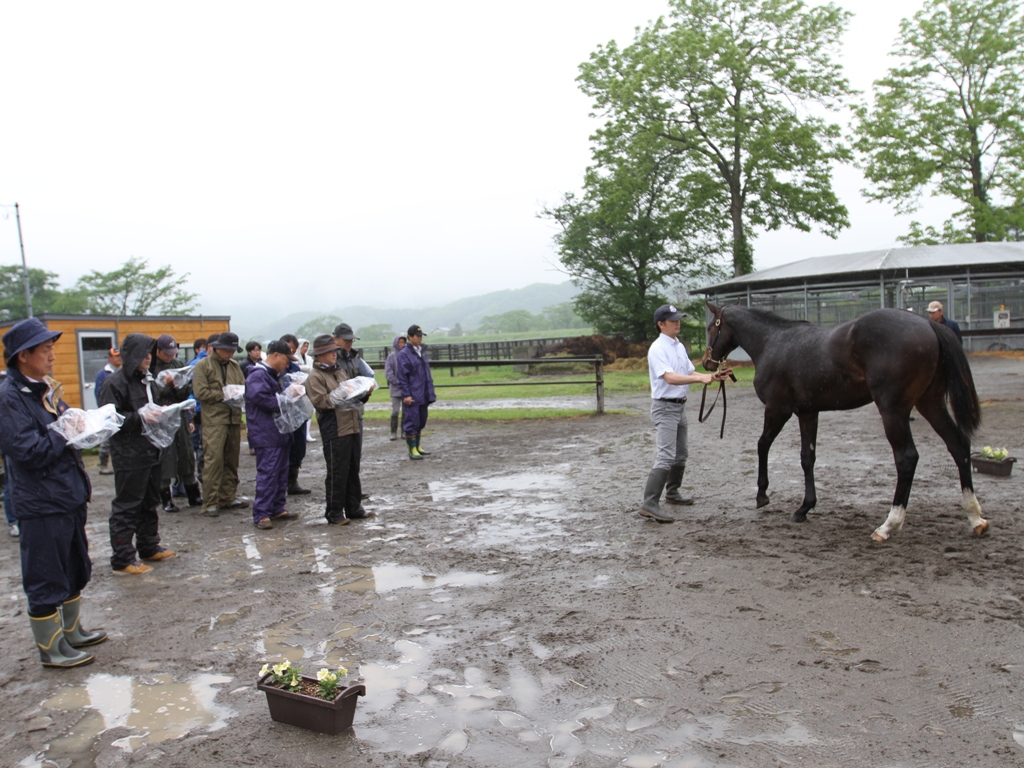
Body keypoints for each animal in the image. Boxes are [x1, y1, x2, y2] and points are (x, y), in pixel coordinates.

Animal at [704, 301, 983, 540]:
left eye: (710, 328)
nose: (707, 362)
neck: (773, 341)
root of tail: (928, 325)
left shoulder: (777, 409)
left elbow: (762, 445)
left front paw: (762, 495)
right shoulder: (807, 413)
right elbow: (807, 458)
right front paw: (804, 508)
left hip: (894, 411)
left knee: (907, 458)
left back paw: (889, 525)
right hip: (930, 403)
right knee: (958, 445)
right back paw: (975, 517)